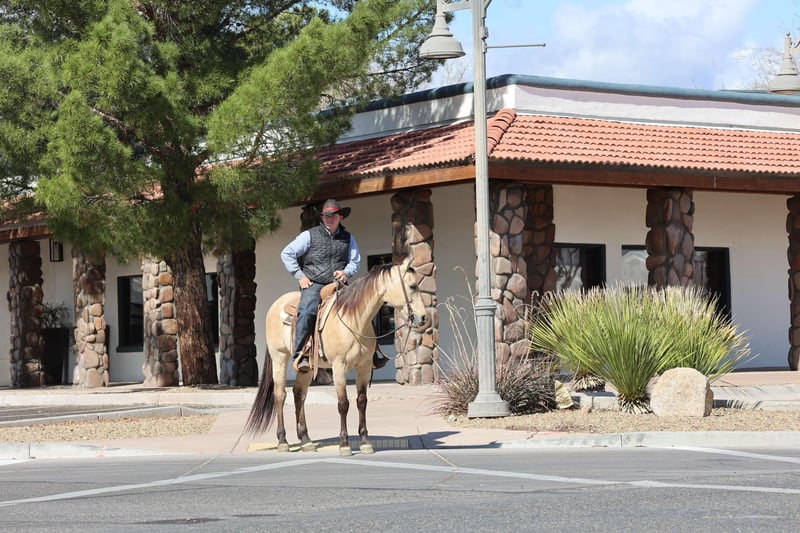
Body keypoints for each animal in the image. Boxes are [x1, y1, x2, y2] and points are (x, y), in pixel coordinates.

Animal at [244, 254, 428, 456]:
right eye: (413, 286)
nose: (423, 318)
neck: (353, 319)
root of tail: (276, 305)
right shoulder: (339, 367)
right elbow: (343, 404)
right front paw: (344, 444)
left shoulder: (364, 367)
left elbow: (361, 401)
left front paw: (365, 442)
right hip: (279, 358)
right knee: (279, 395)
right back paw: (283, 441)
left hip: (307, 368)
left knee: (299, 394)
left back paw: (306, 440)